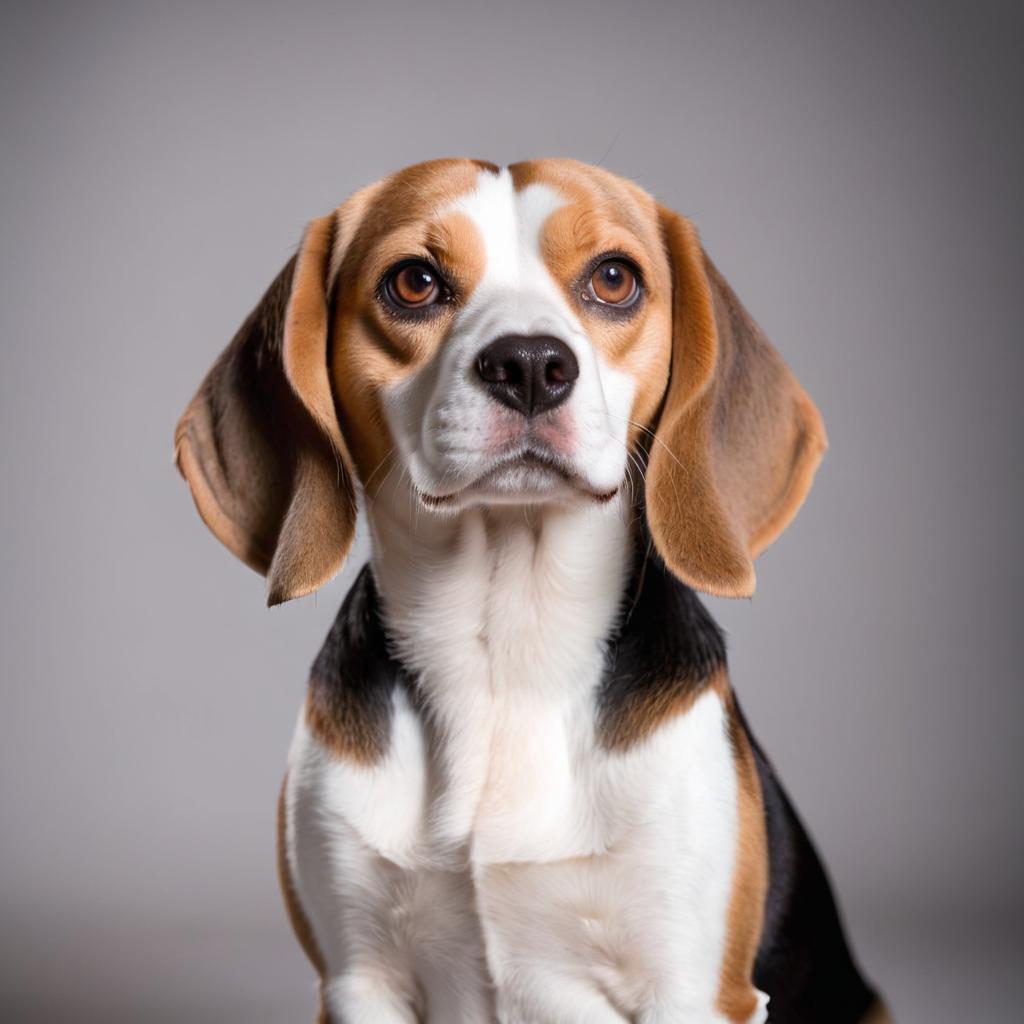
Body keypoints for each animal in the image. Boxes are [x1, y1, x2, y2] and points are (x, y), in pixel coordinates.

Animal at [174, 159, 888, 1024]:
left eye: (613, 278)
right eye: (413, 282)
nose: (529, 366)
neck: (507, 644)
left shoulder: (690, 986)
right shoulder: (358, 979)